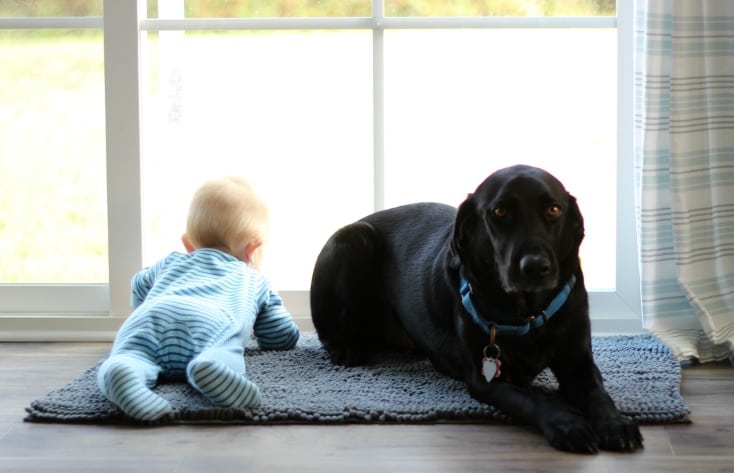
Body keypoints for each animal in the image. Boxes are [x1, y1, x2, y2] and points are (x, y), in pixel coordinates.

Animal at [310, 164, 644, 452]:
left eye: (553, 210)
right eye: (500, 211)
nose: (535, 267)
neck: (527, 313)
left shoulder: (578, 361)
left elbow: (598, 393)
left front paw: (616, 423)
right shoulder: (485, 379)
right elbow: (532, 399)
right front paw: (568, 424)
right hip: (354, 238)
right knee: (329, 328)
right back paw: (346, 348)